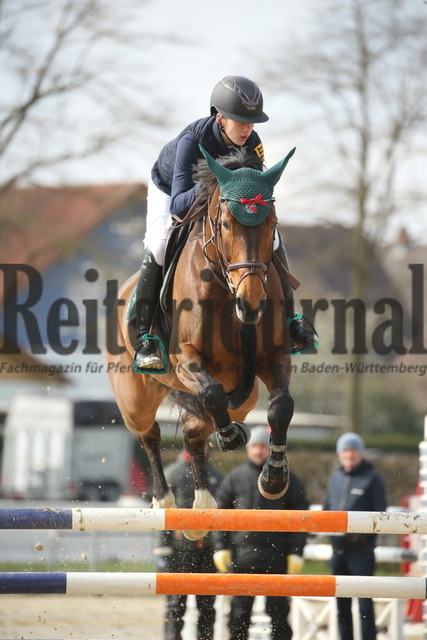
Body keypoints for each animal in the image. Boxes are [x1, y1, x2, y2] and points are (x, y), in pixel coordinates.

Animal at [108, 146, 296, 540]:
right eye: (225, 225)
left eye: (272, 225)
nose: (251, 305)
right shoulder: (186, 359)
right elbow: (211, 394)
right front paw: (231, 440)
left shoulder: (274, 357)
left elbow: (281, 406)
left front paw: (273, 478)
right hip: (134, 399)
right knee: (149, 432)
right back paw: (165, 502)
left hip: (246, 397)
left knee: (196, 432)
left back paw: (202, 506)